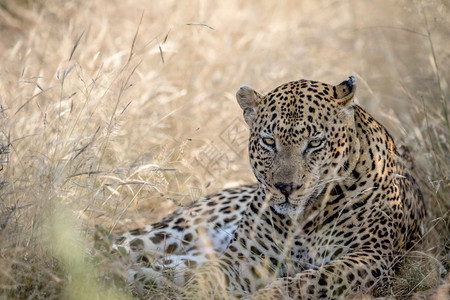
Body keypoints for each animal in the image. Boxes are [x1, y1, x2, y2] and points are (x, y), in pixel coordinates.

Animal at [112, 74, 426, 298]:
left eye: (315, 143)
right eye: (268, 141)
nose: (286, 187)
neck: (304, 219)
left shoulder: (370, 257)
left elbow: (311, 281)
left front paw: (267, 296)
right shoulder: (244, 256)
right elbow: (210, 277)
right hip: (176, 231)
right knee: (116, 245)